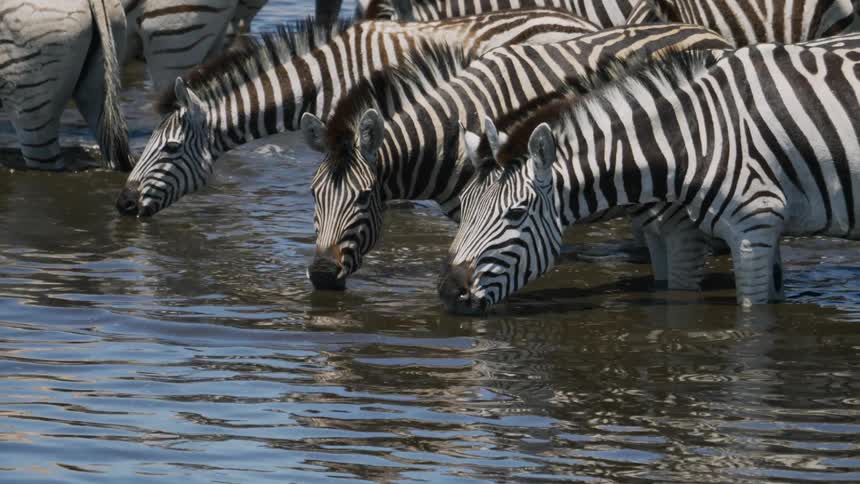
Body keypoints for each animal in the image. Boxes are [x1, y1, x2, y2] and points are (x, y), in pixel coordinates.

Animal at [440, 38, 860, 313]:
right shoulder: (753, 229)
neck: (694, 138)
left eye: (515, 214)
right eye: (464, 206)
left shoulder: (749, 227)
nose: (448, 292)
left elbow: (747, 317)